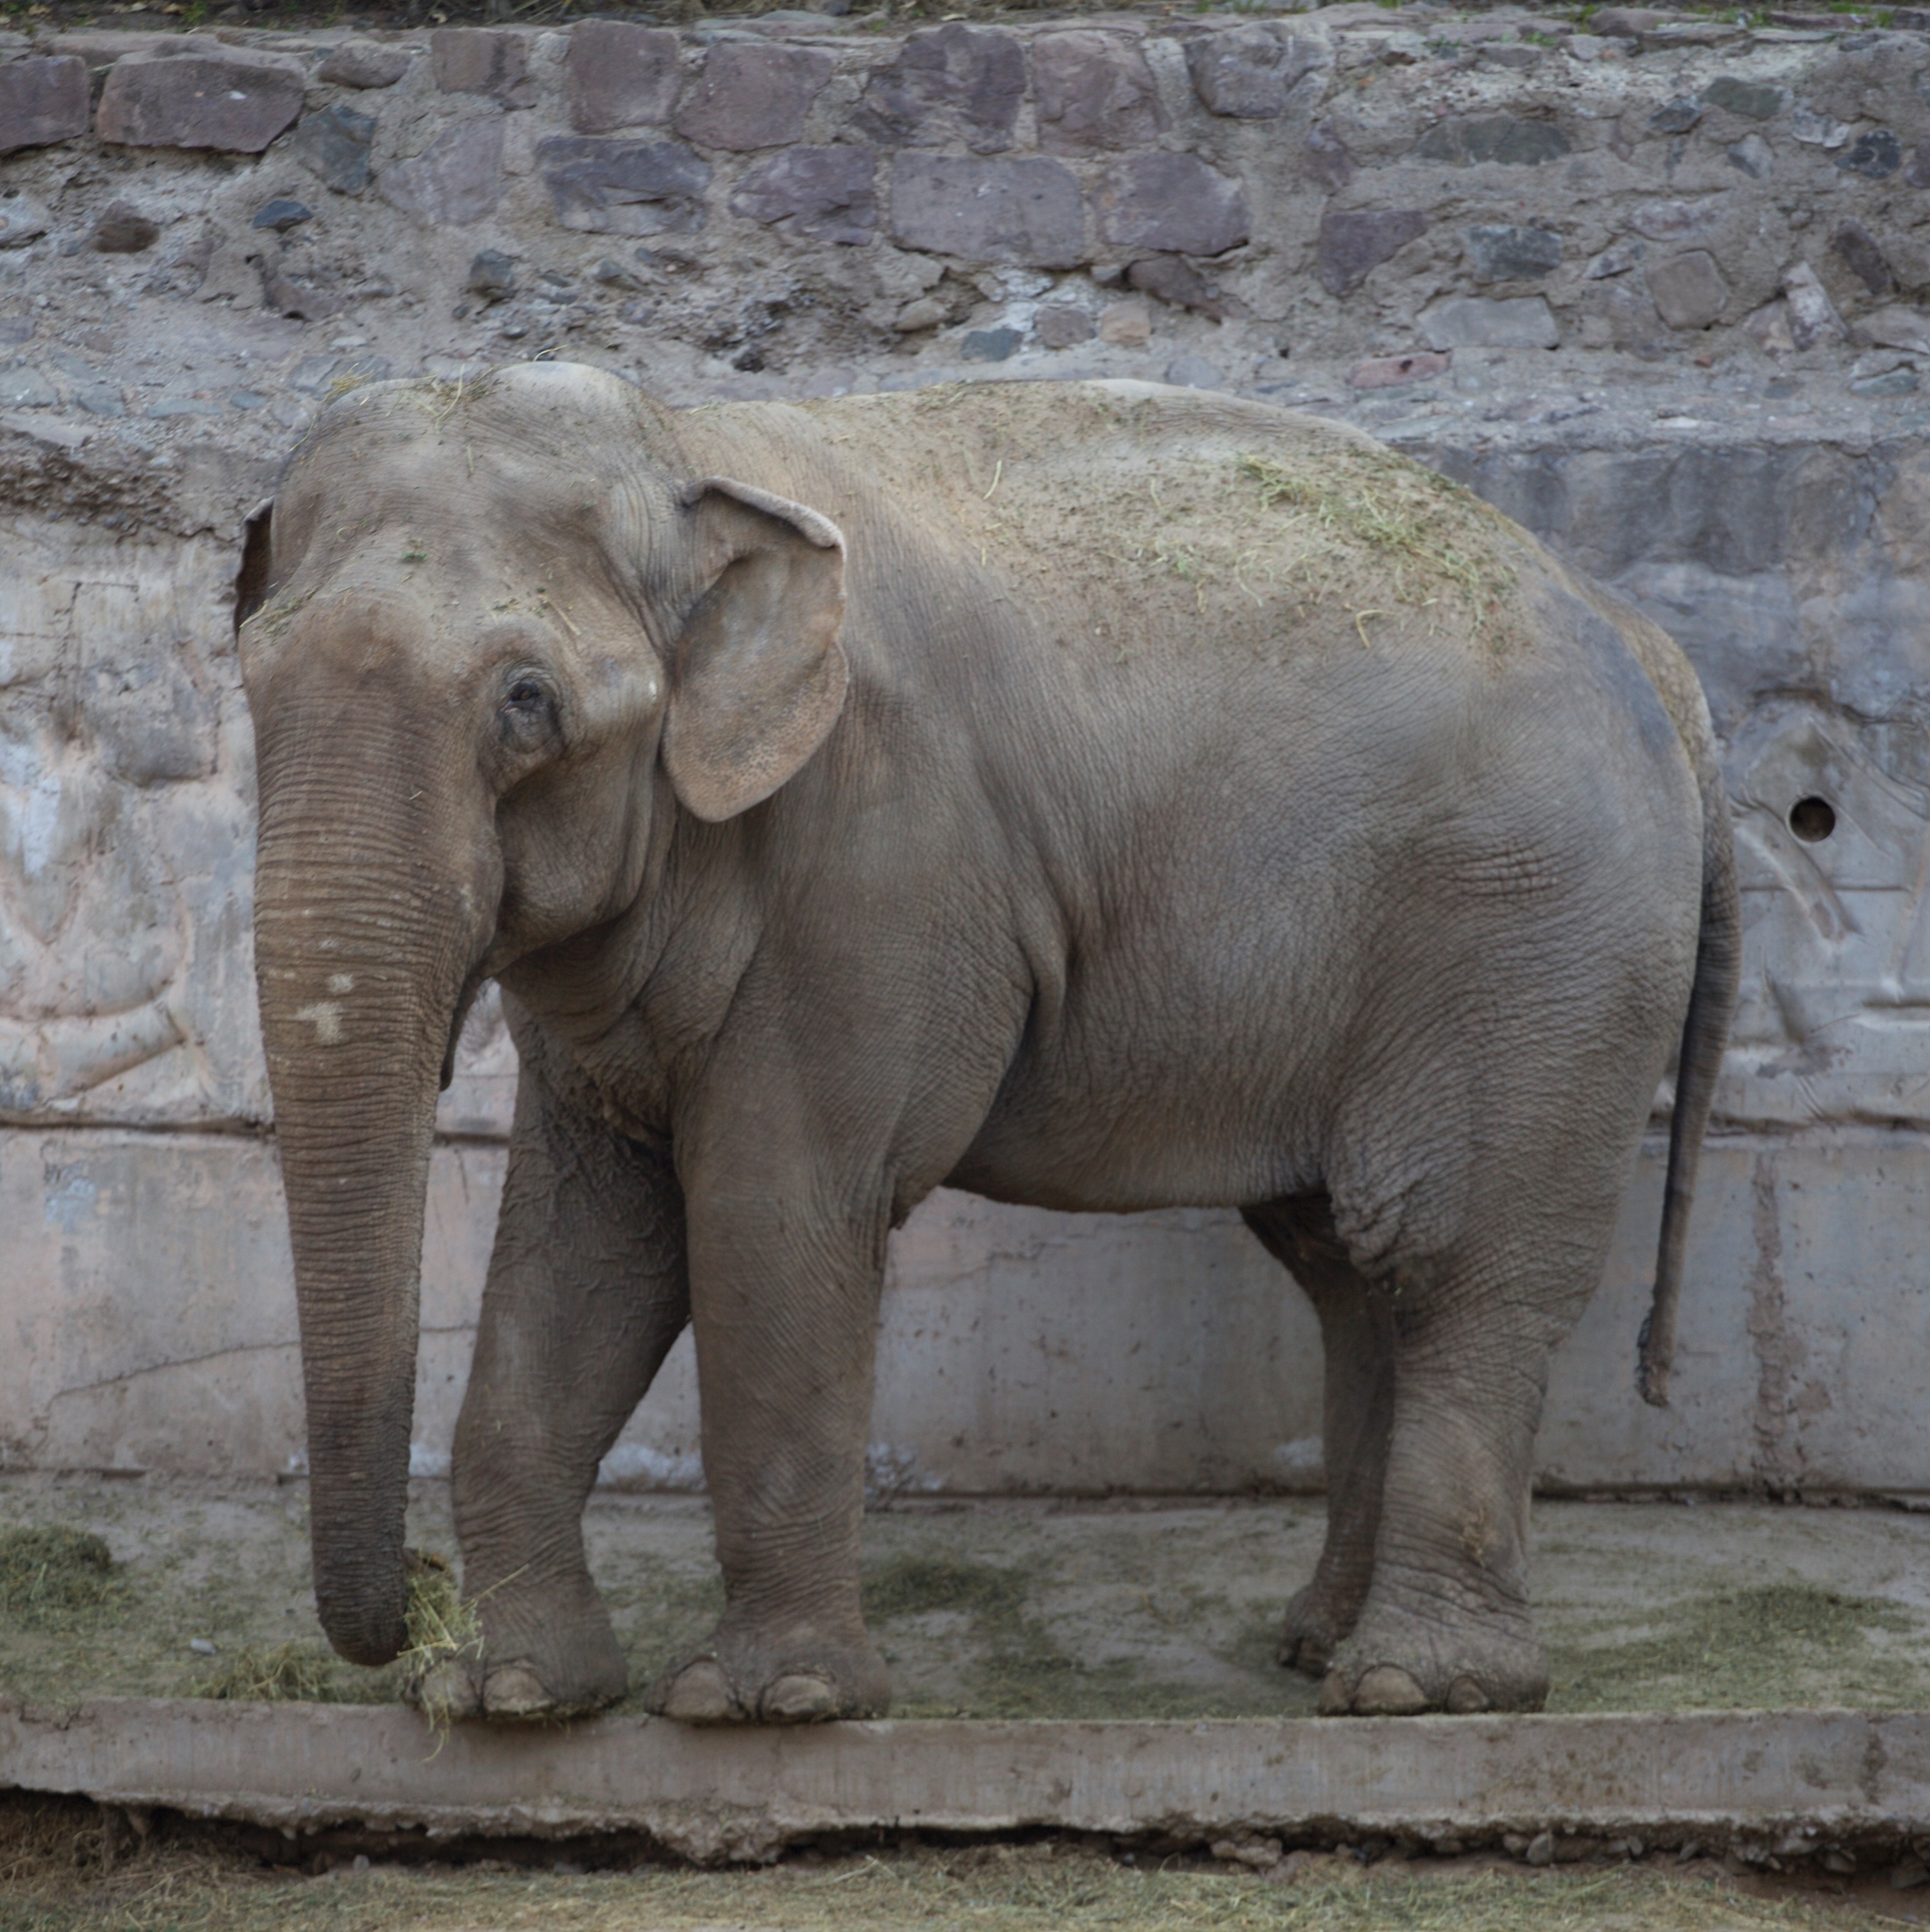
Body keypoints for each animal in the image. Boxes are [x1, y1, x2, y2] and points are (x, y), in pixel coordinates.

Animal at [237, 363, 1738, 1723]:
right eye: (250, 683)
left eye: (526, 702)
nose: (407, 1611)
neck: (693, 440)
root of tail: (1647, 646)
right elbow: (585, 1242)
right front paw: (512, 1697)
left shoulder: (880, 859)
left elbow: (772, 1215)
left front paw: (765, 1704)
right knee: (1346, 1269)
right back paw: (1316, 1649)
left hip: (1535, 943)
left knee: (1454, 1261)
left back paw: (1418, 1688)